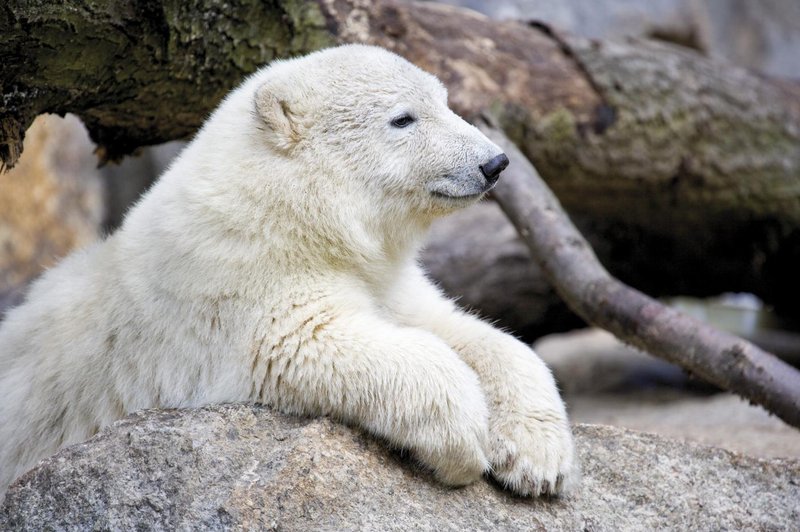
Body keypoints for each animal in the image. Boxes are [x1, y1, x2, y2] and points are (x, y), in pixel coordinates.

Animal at [0, 44, 576, 498]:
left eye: (445, 101)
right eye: (403, 118)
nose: (494, 163)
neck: (291, 217)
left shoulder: (383, 275)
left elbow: (466, 331)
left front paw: (537, 457)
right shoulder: (235, 285)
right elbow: (310, 339)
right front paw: (465, 442)